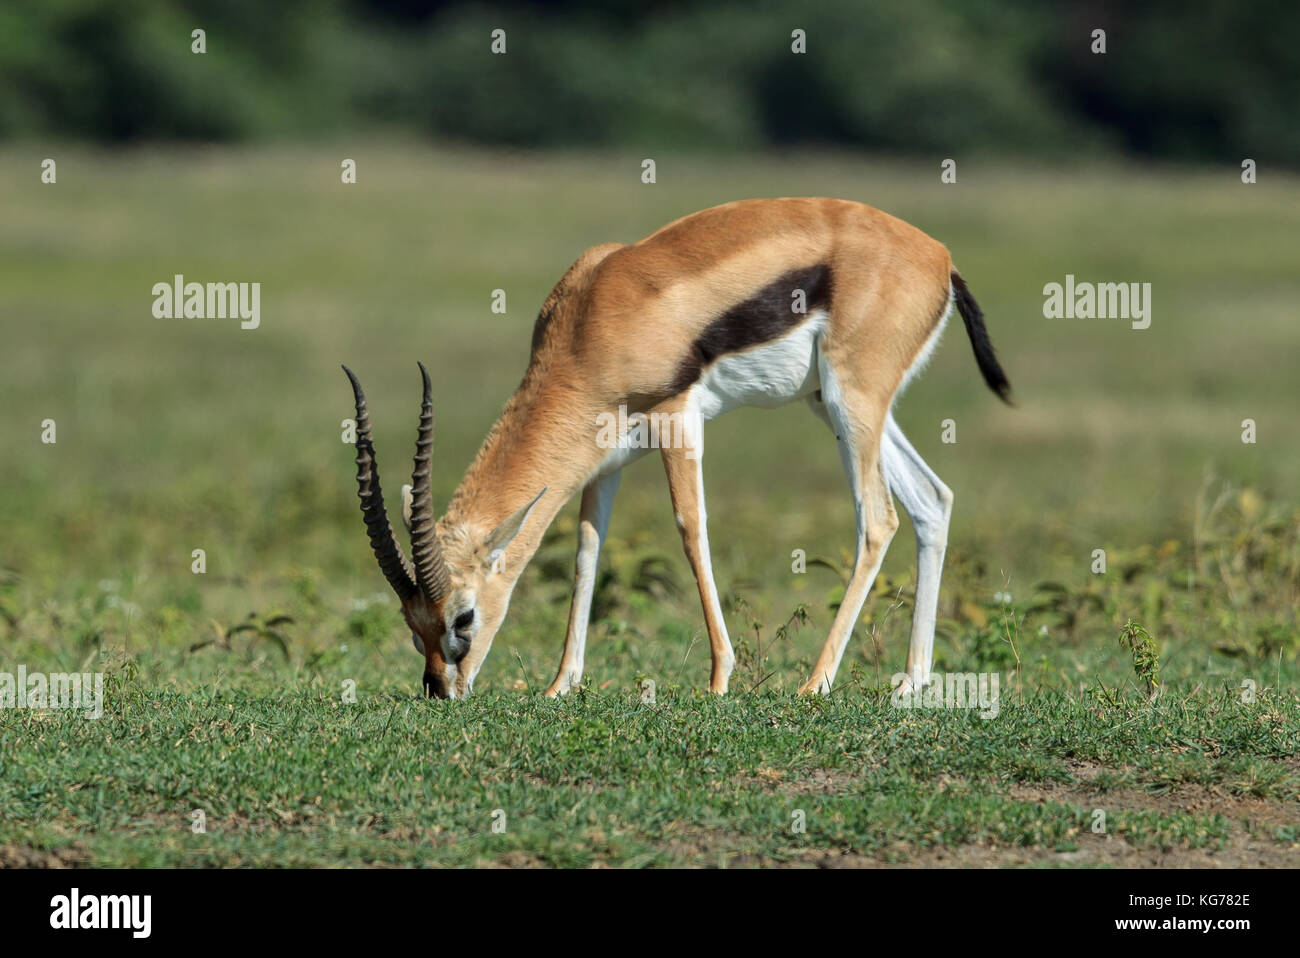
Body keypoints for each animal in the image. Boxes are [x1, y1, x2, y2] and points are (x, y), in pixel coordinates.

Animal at [342, 197, 1011, 700]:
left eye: (463, 617)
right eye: (412, 624)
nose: (441, 691)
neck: (590, 320)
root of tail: (940, 259)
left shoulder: (677, 417)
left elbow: (691, 527)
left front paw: (719, 679)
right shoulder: (602, 460)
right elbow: (587, 548)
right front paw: (562, 684)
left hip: (853, 399)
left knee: (878, 518)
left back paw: (816, 684)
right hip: (835, 404)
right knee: (932, 500)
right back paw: (911, 684)